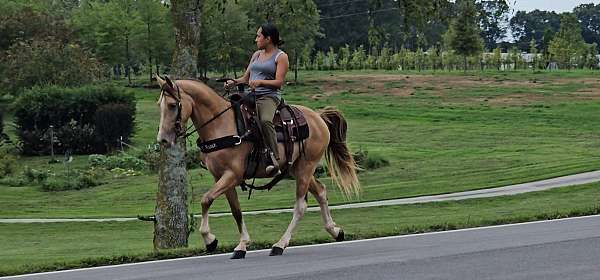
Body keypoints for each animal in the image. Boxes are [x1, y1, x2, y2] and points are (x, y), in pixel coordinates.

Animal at [156, 74, 360, 258]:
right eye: (160, 105)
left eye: (172, 105)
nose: (163, 139)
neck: (221, 125)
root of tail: (318, 117)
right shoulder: (221, 177)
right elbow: (236, 211)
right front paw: (241, 245)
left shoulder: (232, 175)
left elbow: (206, 199)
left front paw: (210, 240)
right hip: (297, 169)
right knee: (321, 192)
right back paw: (335, 230)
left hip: (305, 168)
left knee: (300, 206)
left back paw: (280, 244)